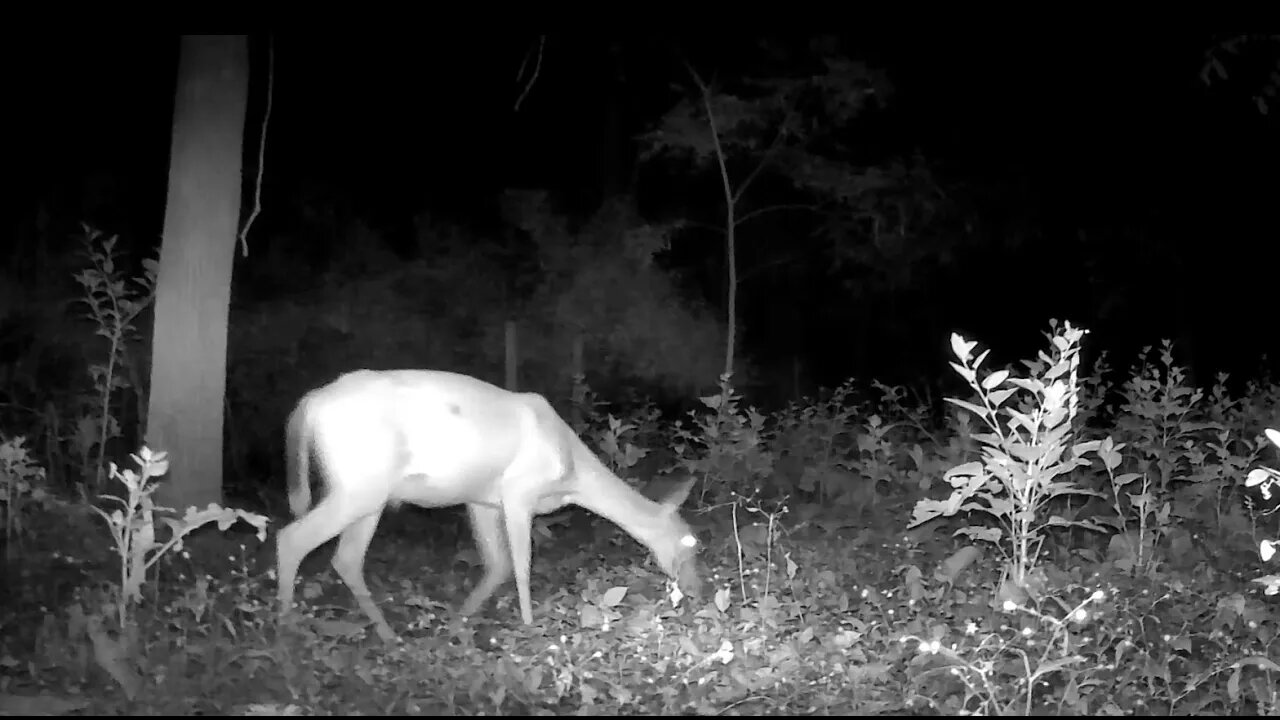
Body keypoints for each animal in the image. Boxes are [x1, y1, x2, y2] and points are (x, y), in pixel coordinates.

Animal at [273, 368, 706, 638]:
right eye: (691, 543)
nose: (698, 592)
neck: (572, 474)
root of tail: (309, 403)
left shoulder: (483, 500)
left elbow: (497, 565)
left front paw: (457, 624)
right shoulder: (518, 491)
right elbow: (522, 566)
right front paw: (530, 627)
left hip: (368, 494)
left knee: (345, 558)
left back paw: (388, 635)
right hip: (359, 485)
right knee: (291, 538)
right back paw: (286, 632)